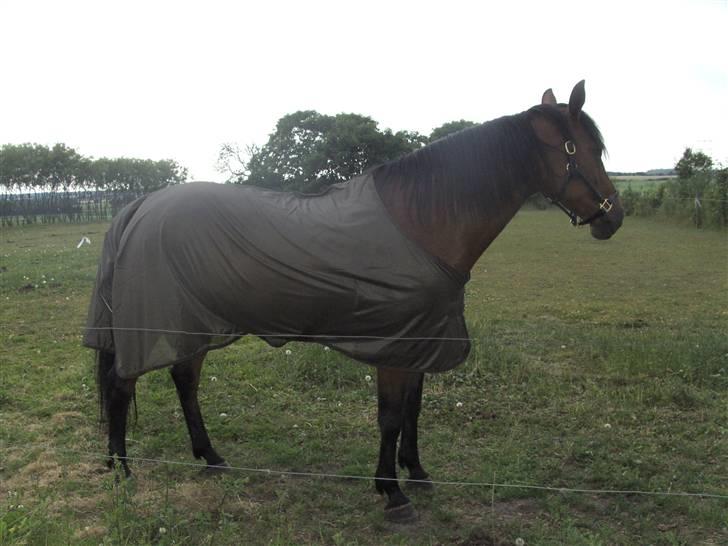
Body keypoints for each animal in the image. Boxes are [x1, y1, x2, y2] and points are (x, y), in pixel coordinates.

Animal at [84, 81, 620, 520]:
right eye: (587, 148)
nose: (612, 218)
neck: (423, 222)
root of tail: (140, 206)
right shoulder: (395, 347)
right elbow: (390, 416)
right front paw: (392, 493)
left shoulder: (419, 341)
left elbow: (412, 411)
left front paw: (416, 473)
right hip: (153, 327)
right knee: (122, 386)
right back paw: (122, 470)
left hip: (193, 323)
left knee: (184, 382)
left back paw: (210, 458)